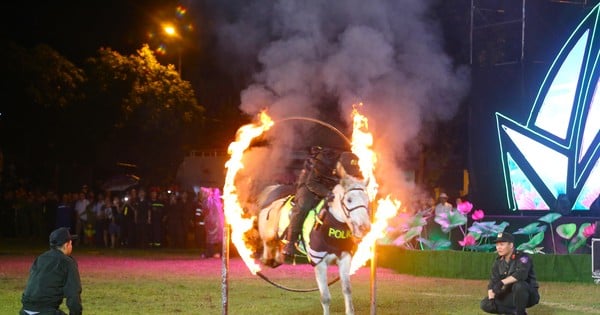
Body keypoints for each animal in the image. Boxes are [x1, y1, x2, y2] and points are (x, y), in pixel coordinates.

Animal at [256, 175, 370, 315]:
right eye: (349, 200)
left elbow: (347, 290)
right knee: (268, 251)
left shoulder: (344, 258)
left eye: (367, 199)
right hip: (268, 237)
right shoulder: (319, 262)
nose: (365, 227)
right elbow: (325, 297)